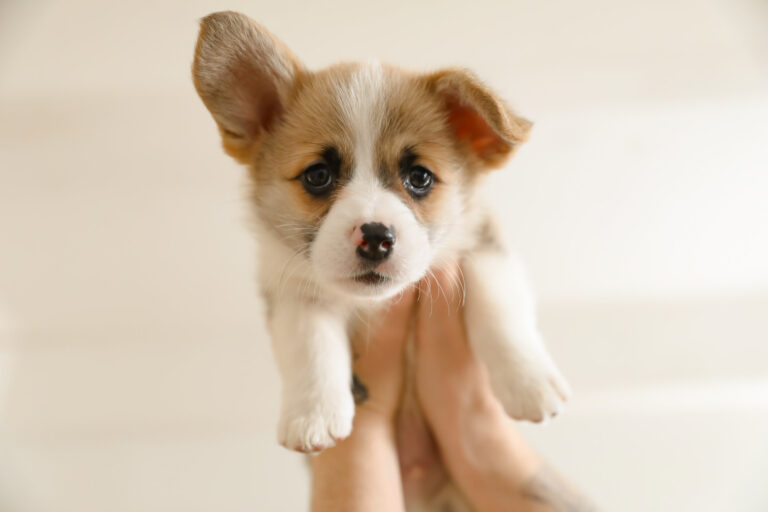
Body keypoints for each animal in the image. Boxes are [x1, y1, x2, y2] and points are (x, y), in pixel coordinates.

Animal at [190, 11, 568, 460]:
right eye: (318, 175)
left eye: (419, 177)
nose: (375, 238)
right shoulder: (293, 292)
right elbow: (311, 347)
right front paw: (313, 416)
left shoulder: (482, 244)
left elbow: (497, 306)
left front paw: (530, 383)